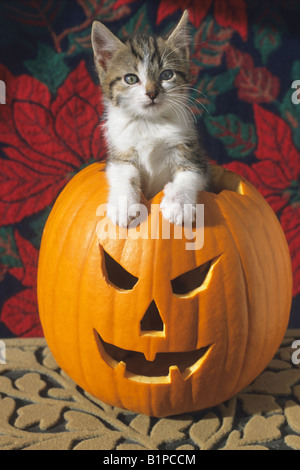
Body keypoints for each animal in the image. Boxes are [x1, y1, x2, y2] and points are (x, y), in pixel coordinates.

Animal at [91, 8, 209, 226]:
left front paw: (179, 204)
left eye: (167, 75)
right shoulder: (119, 149)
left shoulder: (191, 148)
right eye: (130, 79)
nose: (152, 92)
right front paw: (123, 205)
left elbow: (191, 171)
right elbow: (123, 172)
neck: (149, 122)